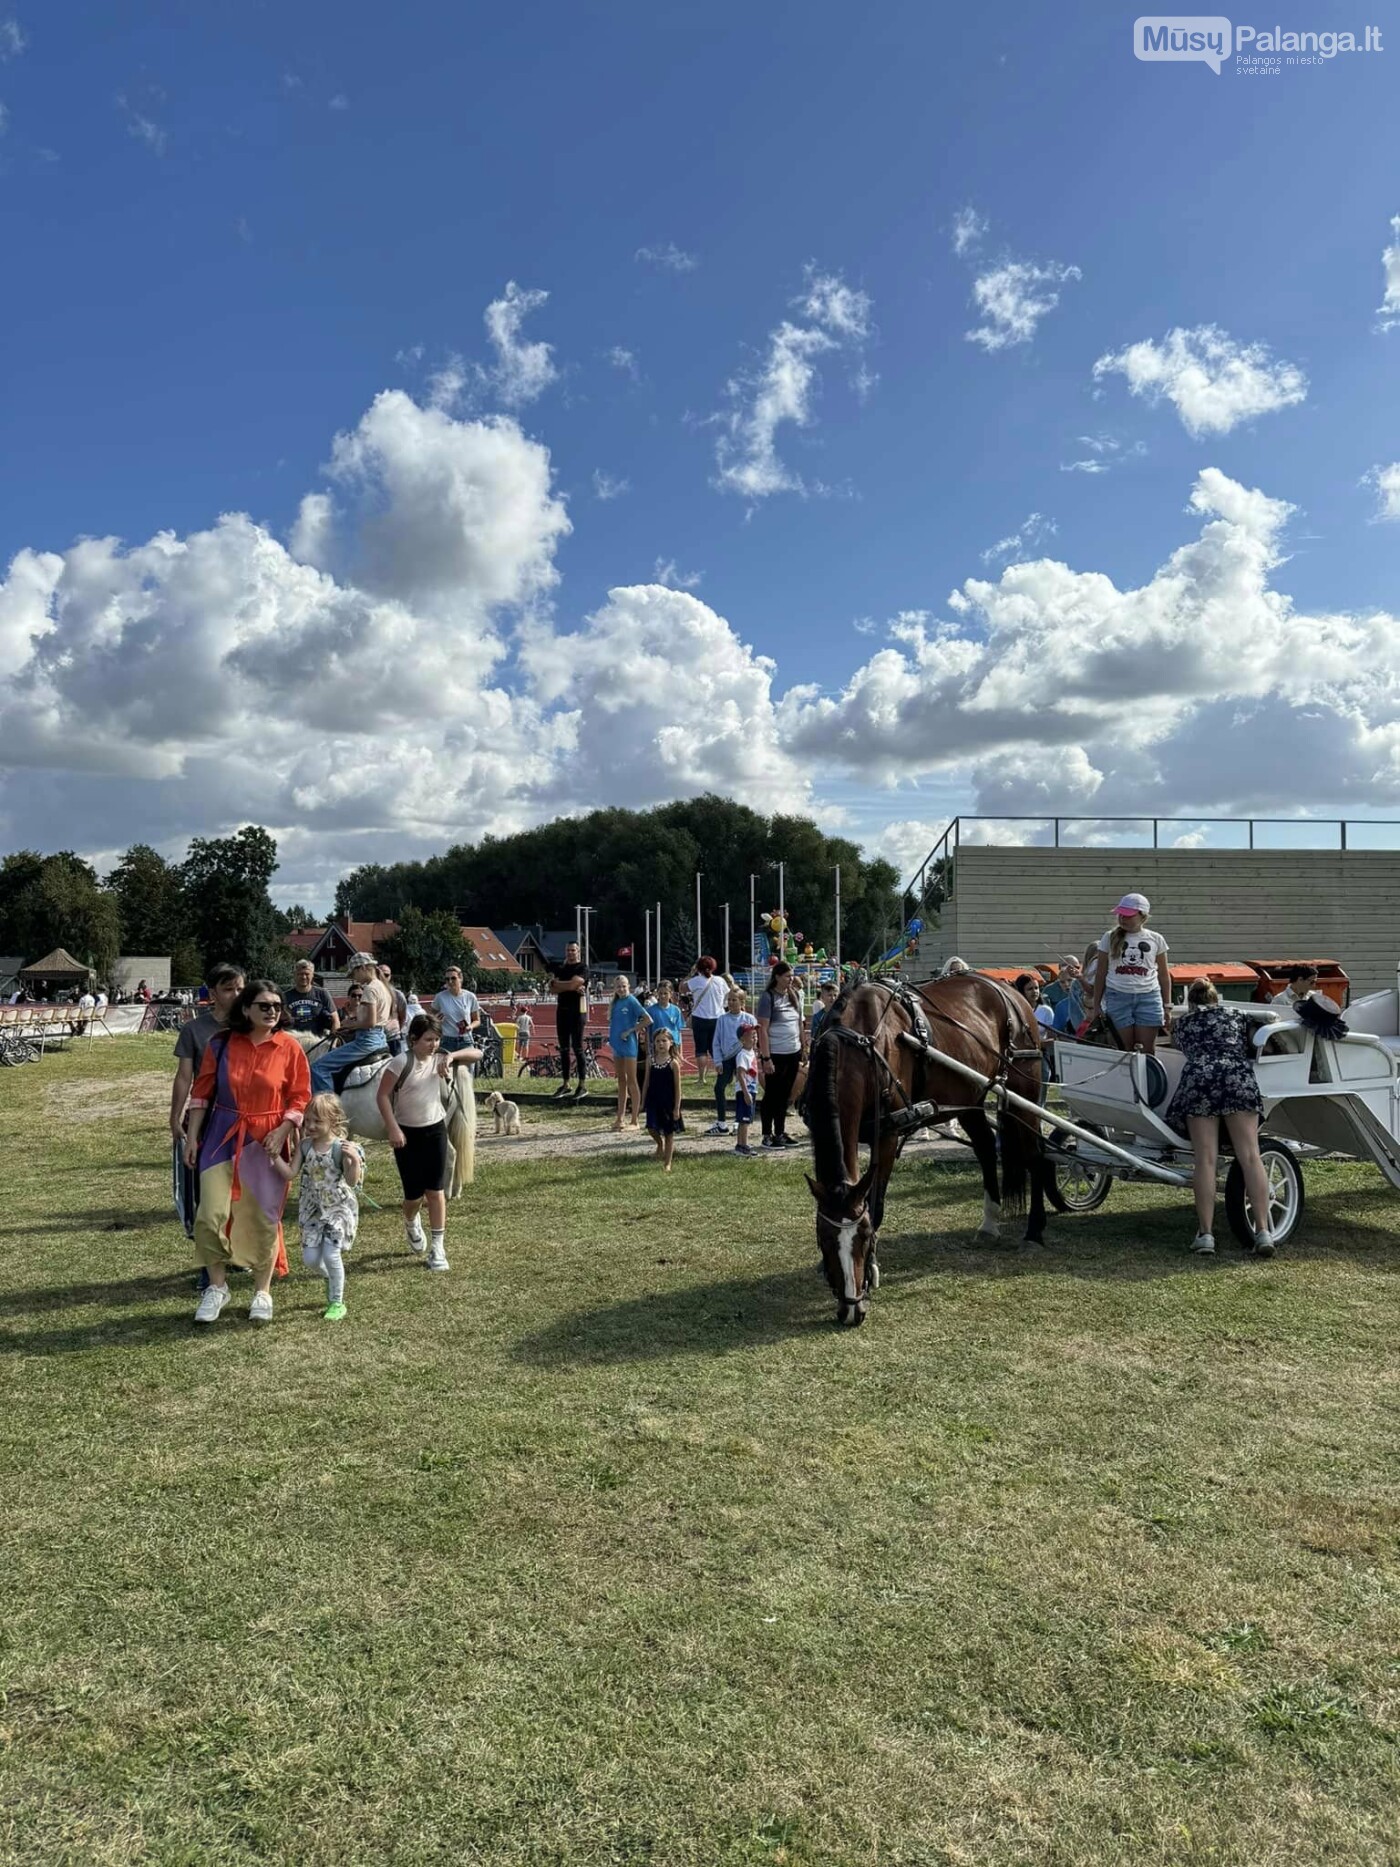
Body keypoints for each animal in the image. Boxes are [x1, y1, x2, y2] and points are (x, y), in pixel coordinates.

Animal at [806, 978, 1060, 1329]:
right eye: (825, 1239)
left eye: (865, 1238)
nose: (851, 1310)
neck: (856, 1042)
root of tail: (1008, 991)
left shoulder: (887, 1134)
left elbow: (877, 1204)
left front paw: (873, 1270)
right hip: (970, 1097)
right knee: (985, 1146)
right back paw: (989, 1223)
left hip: (1025, 1089)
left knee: (1035, 1156)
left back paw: (1034, 1231)